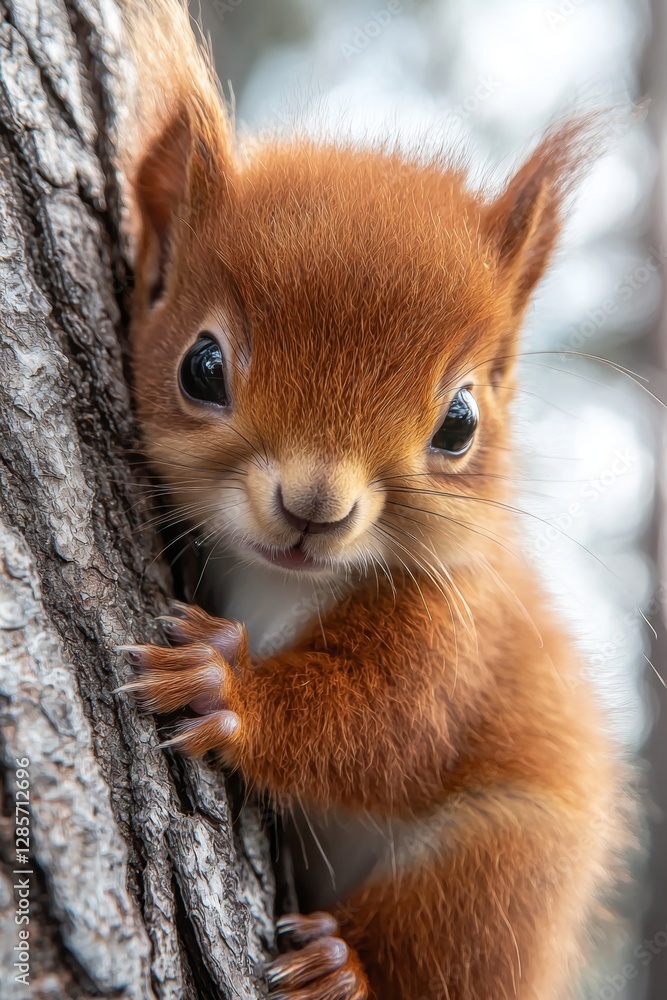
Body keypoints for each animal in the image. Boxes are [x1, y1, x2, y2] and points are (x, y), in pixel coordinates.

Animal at [119, 2, 628, 997]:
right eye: (200, 367)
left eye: (459, 423)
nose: (313, 507)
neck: (285, 584)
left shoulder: (457, 632)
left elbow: (389, 725)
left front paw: (227, 688)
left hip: (504, 870)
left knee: (453, 941)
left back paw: (342, 964)